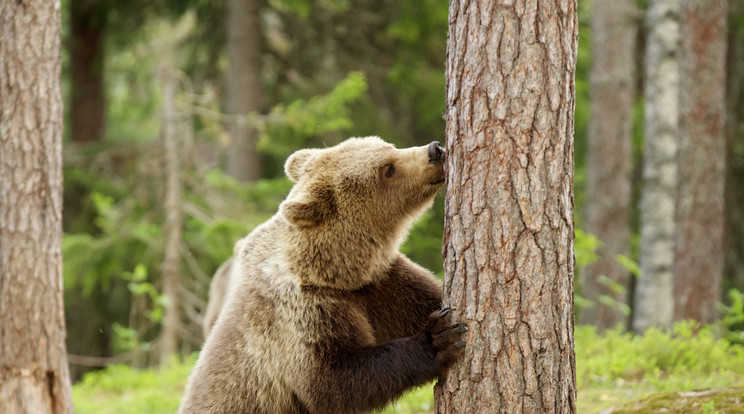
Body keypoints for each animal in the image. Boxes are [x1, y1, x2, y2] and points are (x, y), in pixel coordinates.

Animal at [179, 137, 464, 414]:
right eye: (388, 170)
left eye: (389, 146)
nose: (435, 150)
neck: (337, 272)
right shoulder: (302, 313)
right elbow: (334, 380)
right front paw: (439, 338)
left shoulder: (382, 283)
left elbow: (425, 297)